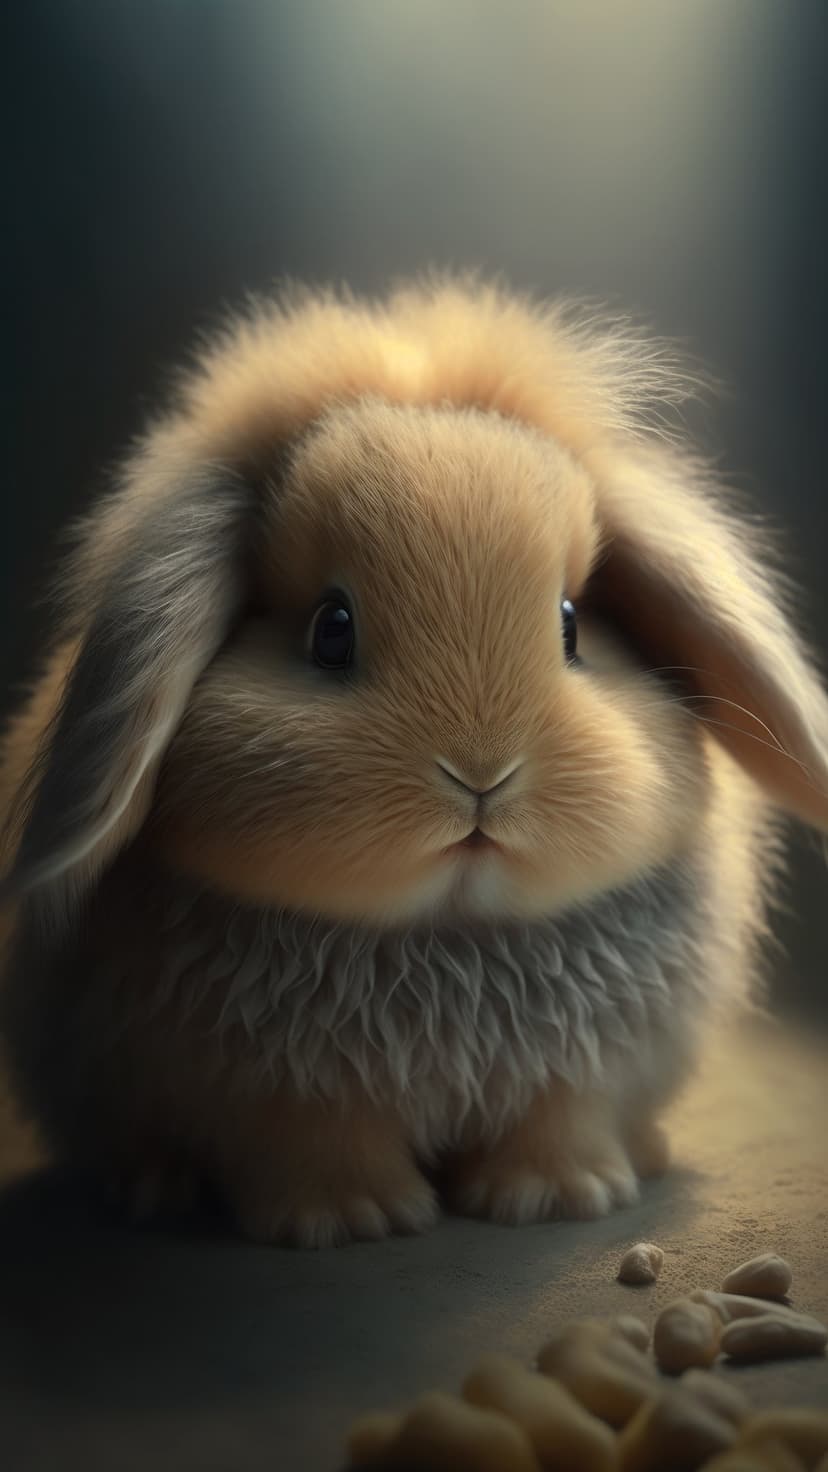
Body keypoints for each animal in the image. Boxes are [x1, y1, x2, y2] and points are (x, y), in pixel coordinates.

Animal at [1, 275, 826, 1248]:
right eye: (331, 630)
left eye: (571, 624)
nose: (482, 775)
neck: (449, 940)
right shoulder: (279, 1093)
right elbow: (316, 1145)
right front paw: (350, 1221)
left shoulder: (579, 1077)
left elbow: (559, 1122)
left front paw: (556, 1199)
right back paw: (151, 1187)